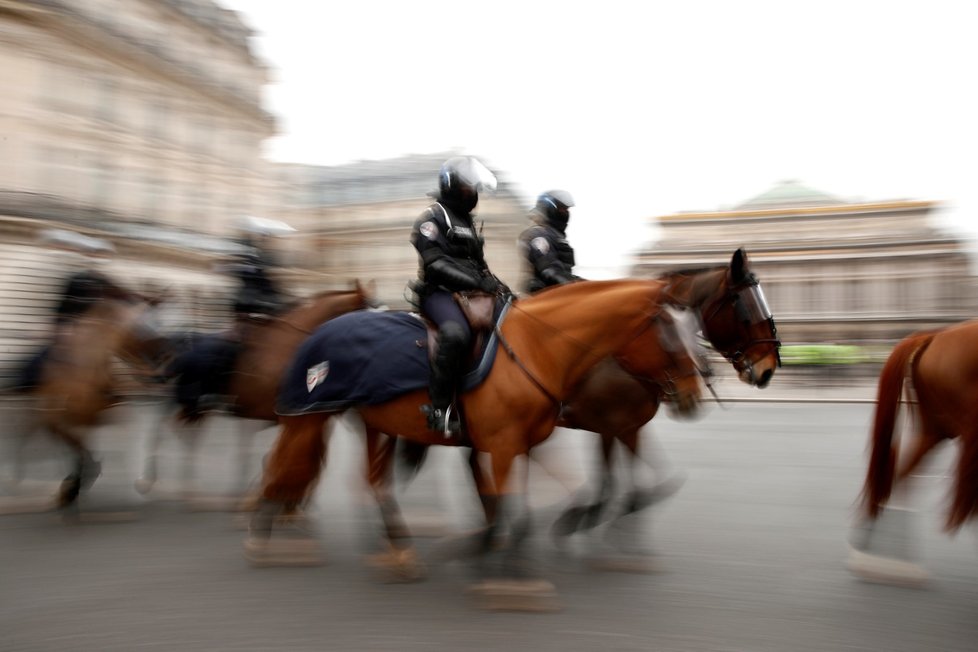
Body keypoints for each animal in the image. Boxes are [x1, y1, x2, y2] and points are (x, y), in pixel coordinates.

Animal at [137, 282, 378, 502]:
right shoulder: (283, 413)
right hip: (183, 398)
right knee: (162, 429)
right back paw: (155, 481)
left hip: (192, 405)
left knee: (184, 432)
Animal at [246, 250, 776, 596]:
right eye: (744, 308)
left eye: (693, 326)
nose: (768, 369)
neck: (542, 347)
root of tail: (321, 330)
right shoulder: (548, 436)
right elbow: (589, 492)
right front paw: (529, 555)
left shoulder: (603, 430)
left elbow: (636, 484)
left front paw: (596, 537)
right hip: (312, 416)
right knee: (287, 464)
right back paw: (269, 530)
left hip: (376, 423)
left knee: (370, 481)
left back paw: (392, 548)